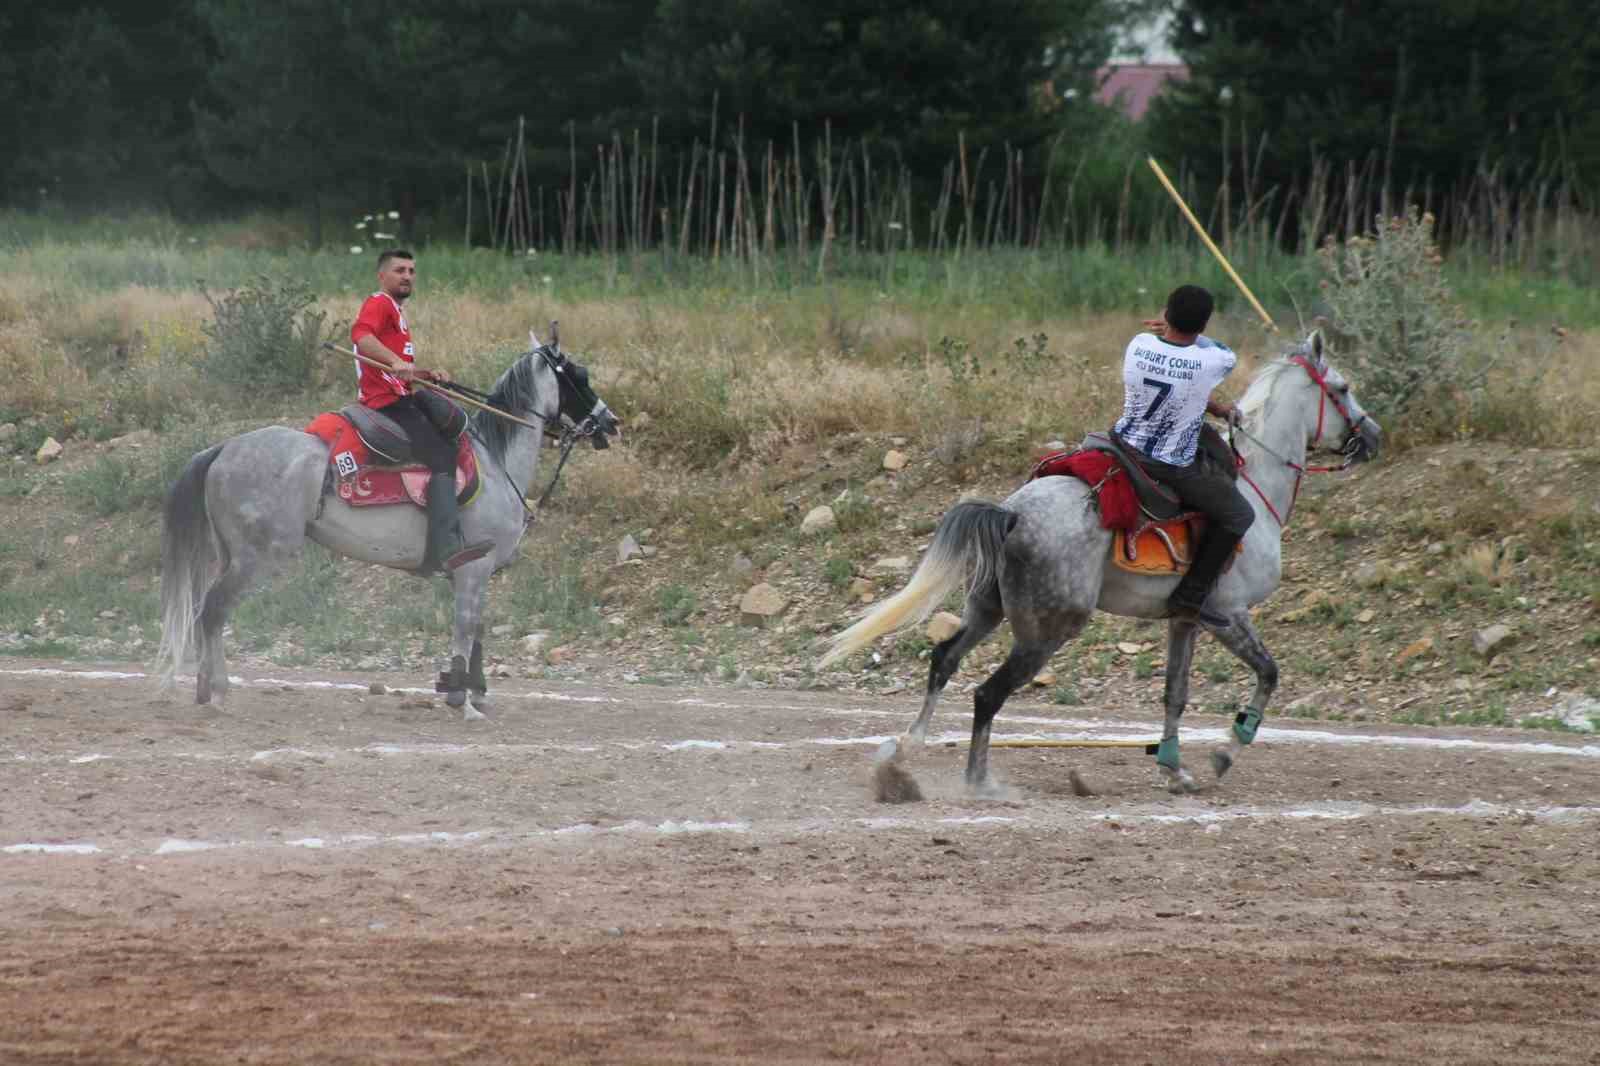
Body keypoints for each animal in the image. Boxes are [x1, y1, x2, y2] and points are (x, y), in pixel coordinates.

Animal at [156, 329, 617, 713]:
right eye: (579, 375)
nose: (610, 423)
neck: (496, 461)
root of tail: (223, 448)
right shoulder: (474, 566)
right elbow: (467, 627)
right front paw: (460, 697)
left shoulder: (474, 573)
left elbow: (478, 628)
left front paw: (473, 691)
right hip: (258, 556)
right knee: (213, 610)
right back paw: (218, 691)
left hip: (229, 553)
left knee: (206, 611)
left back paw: (204, 688)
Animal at [819, 329, 1382, 787]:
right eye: (1343, 387)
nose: (1373, 436)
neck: (1255, 484)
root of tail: (1011, 513)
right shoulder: (1228, 615)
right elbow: (1268, 673)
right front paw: (1225, 752)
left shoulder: (1185, 619)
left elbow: (1175, 693)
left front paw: (1174, 768)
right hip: (1047, 631)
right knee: (987, 693)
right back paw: (980, 782)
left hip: (988, 608)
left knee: (944, 660)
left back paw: (906, 749)